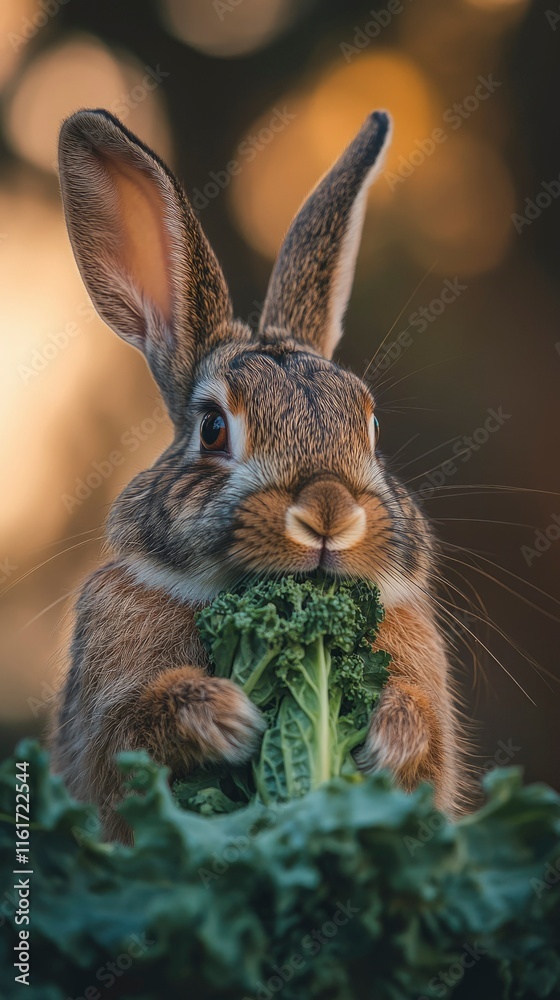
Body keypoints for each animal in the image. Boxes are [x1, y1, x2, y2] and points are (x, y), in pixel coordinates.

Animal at [51, 107, 465, 843]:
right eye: (214, 429)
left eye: (372, 428)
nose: (329, 512)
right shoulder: (102, 723)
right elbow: (125, 740)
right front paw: (228, 716)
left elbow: (430, 743)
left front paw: (388, 733)